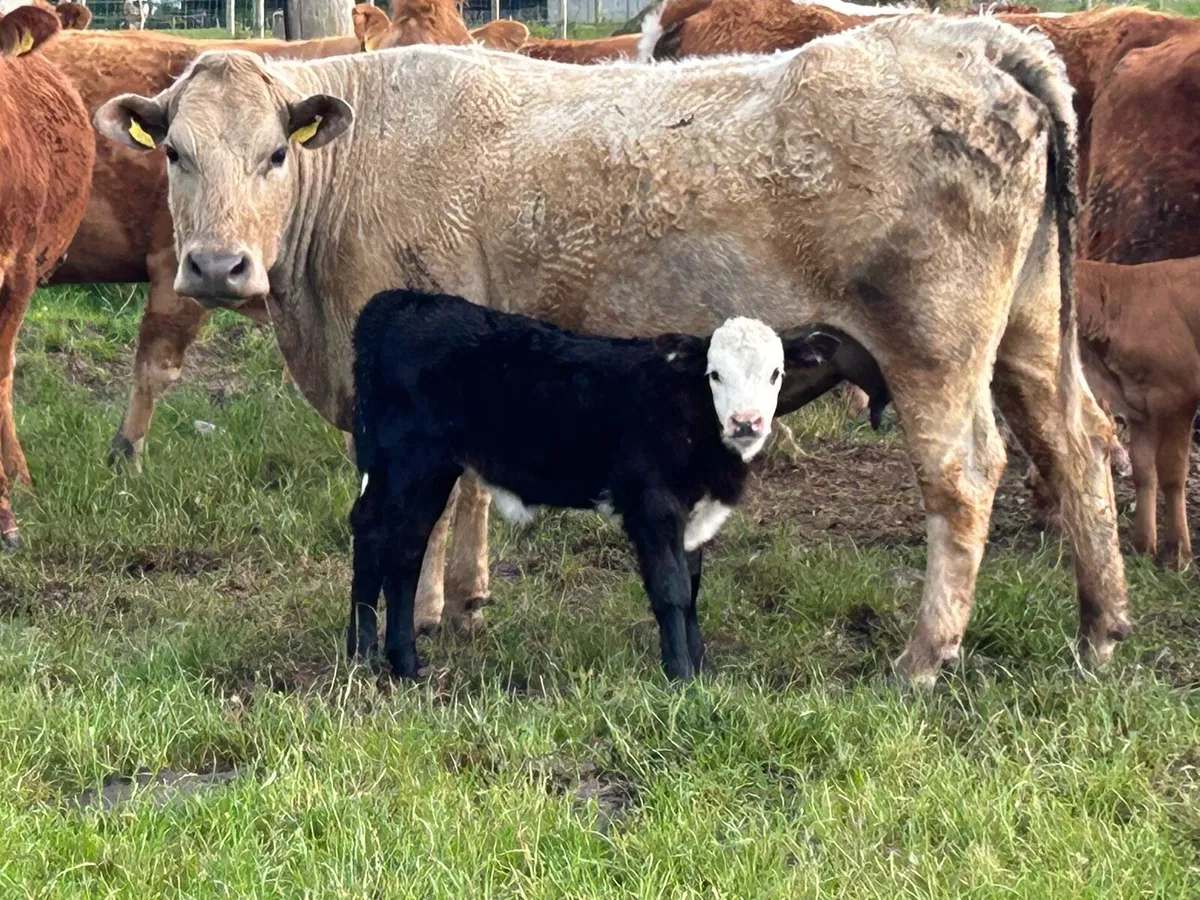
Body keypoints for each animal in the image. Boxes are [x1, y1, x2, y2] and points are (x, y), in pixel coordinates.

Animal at [350, 293, 843, 679]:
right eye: (714, 374)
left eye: (776, 373)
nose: (746, 422)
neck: (689, 414)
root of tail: (397, 303)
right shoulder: (653, 505)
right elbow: (672, 590)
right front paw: (681, 677)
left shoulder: (691, 516)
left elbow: (693, 590)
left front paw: (701, 669)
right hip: (408, 462)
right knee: (382, 538)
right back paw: (379, 657)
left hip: (423, 470)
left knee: (398, 546)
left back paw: (388, 660)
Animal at [1073, 258, 1200, 571]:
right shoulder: (1139, 407)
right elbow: (1143, 471)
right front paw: (1143, 545)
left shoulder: (1179, 397)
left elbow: (1172, 473)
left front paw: (1178, 552)